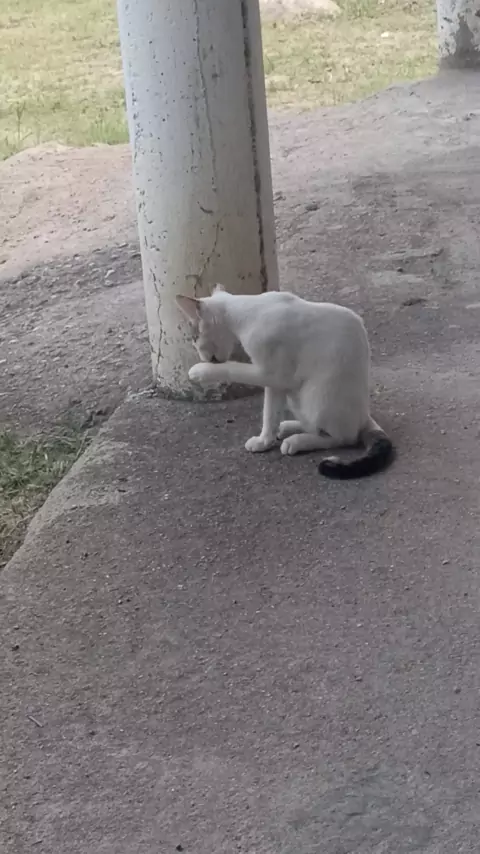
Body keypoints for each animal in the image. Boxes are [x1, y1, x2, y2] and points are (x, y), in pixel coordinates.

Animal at [176, 285, 393, 479]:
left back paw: (297, 441)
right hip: (295, 395)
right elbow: (269, 414)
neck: (246, 313)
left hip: (316, 397)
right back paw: (289, 427)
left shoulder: (272, 374)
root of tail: (364, 415)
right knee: (314, 426)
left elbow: (231, 368)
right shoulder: (276, 383)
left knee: (343, 438)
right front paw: (264, 441)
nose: (202, 356)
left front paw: (199, 370)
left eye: (194, 338)